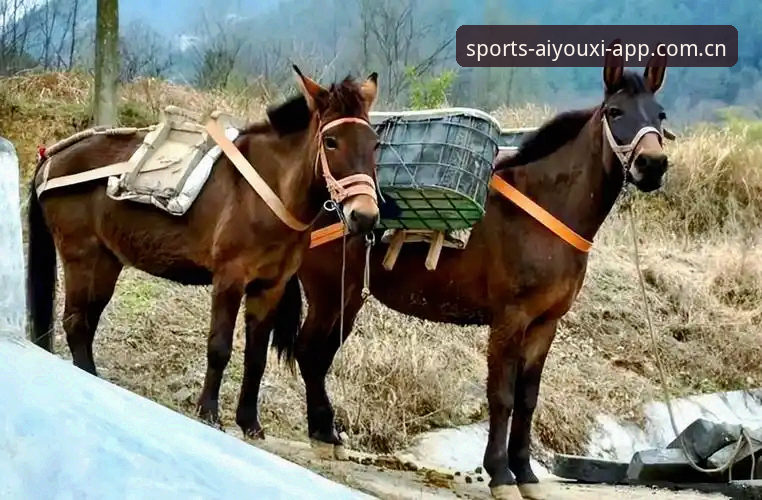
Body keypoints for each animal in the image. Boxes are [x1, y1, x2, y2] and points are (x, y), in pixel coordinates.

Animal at [26, 68, 381, 435]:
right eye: (331, 141)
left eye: (375, 144)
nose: (365, 216)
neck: (269, 190)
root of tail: (53, 157)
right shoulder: (230, 278)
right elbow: (219, 347)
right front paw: (209, 412)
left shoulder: (270, 287)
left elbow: (256, 357)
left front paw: (249, 422)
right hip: (81, 254)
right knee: (75, 321)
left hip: (107, 261)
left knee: (88, 319)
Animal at [254, 54, 670, 498]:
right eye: (615, 112)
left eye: (660, 114)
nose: (652, 164)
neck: (542, 210)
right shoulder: (509, 320)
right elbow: (502, 396)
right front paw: (501, 474)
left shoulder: (545, 325)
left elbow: (528, 399)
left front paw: (526, 474)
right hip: (329, 292)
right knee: (309, 351)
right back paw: (317, 434)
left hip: (349, 296)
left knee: (318, 355)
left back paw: (326, 434)